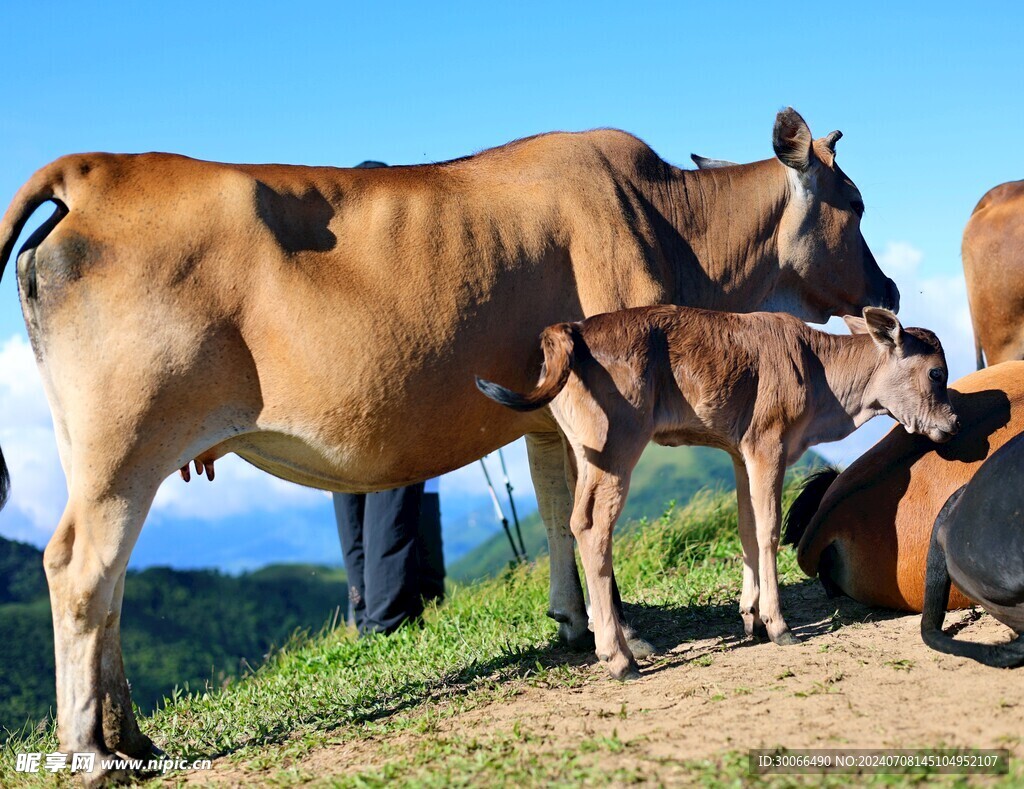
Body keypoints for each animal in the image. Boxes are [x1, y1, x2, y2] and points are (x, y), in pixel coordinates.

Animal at [0, 107, 897, 781]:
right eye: (852, 203)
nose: (887, 287)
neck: (676, 226)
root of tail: (93, 170)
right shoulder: (615, 410)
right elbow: (602, 519)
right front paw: (634, 636)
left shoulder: (551, 414)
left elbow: (555, 511)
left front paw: (575, 623)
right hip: (126, 440)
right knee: (79, 569)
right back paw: (90, 750)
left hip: (101, 450)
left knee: (111, 583)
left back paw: (133, 737)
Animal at [479, 304, 958, 679]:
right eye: (936, 372)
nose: (953, 423)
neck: (819, 373)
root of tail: (571, 330)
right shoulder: (768, 442)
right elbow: (767, 531)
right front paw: (778, 625)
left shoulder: (740, 451)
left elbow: (746, 530)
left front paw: (752, 619)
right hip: (616, 445)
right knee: (592, 526)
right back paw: (620, 660)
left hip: (582, 450)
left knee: (571, 520)